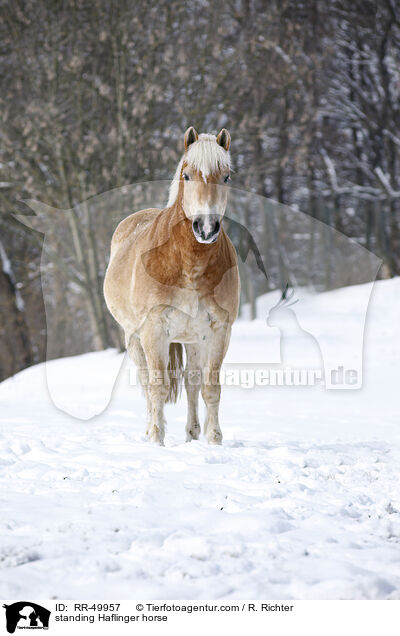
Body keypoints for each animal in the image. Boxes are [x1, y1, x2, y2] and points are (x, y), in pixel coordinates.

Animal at [104, 128, 239, 448]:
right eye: (187, 176)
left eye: (227, 177)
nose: (206, 227)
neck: (188, 264)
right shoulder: (153, 331)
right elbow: (157, 387)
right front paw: (156, 441)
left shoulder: (219, 330)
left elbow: (210, 388)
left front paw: (214, 441)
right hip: (134, 339)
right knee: (146, 383)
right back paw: (150, 431)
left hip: (193, 339)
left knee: (191, 383)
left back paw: (192, 434)